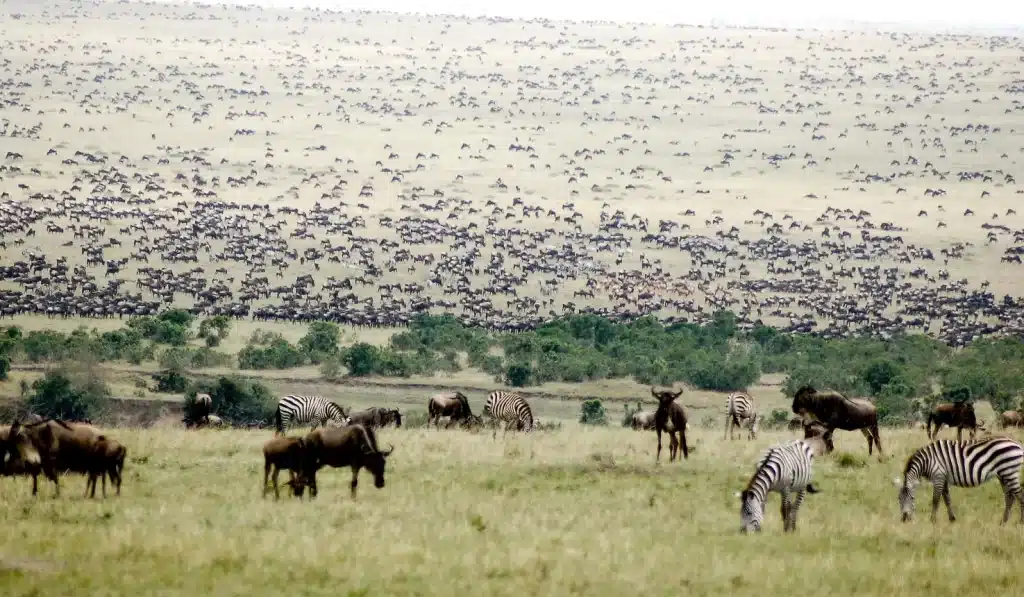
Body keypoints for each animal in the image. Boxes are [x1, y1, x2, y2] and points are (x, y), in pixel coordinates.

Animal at [888, 436, 1024, 524]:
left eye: (912, 498)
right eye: (899, 499)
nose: (905, 519)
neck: (927, 461)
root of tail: (1017, 444)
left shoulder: (938, 476)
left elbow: (936, 500)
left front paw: (932, 521)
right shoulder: (944, 478)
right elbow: (947, 499)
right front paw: (952, 519)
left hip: (1009, 472)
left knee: (1019, 495)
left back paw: (1020, 521)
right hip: (1003, 475)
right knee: (1009, 497)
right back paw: (1003, 521)